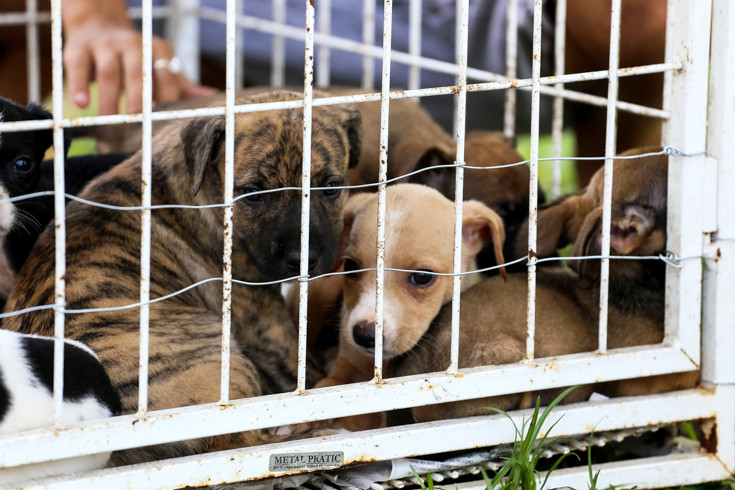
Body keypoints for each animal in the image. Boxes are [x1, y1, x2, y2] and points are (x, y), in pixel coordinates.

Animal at [1, 91, 364, 464]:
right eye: (252, 193)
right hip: (221, 356)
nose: (302, 260)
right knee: (240, 440)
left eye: (331, 187)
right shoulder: (266, 326)